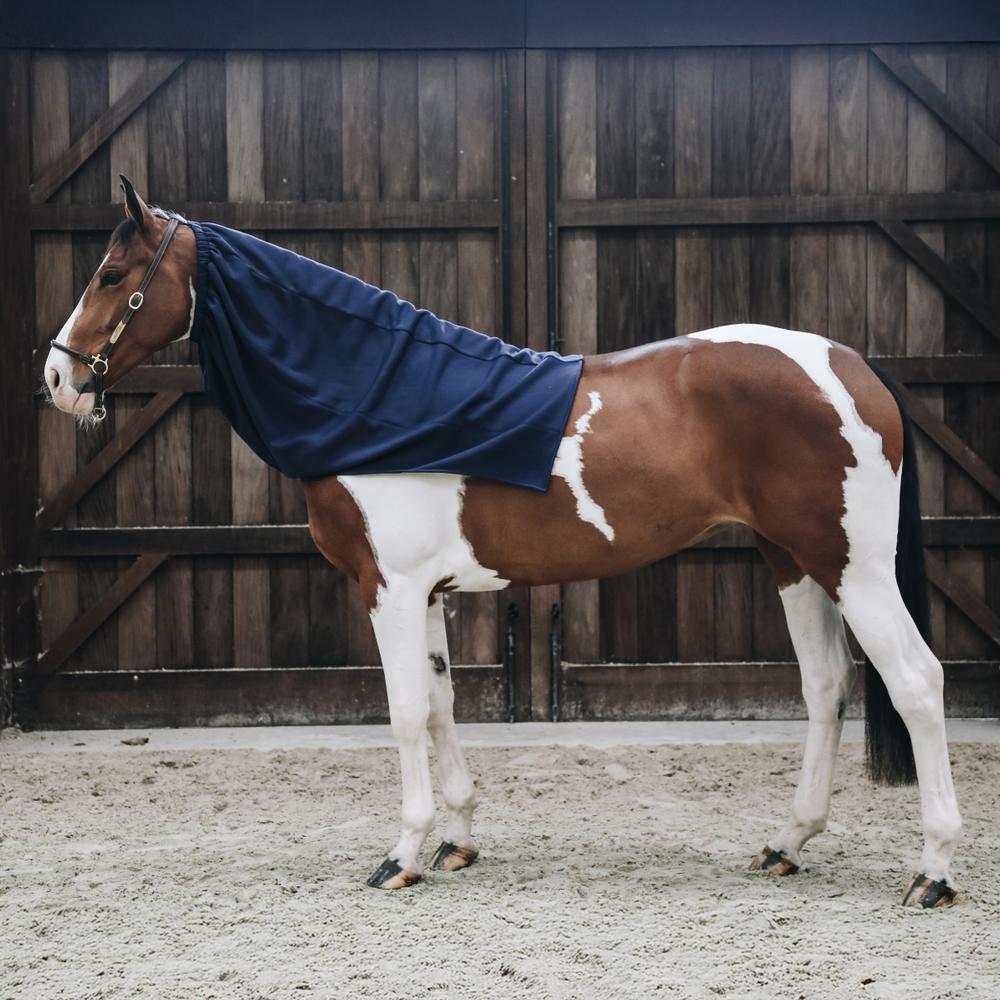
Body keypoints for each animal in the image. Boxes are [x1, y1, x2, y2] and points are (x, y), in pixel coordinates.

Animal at [42, 176, 962, 908]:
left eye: (113, 276)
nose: (57, 377)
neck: (380, 396)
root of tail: (853, 364)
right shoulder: (428, 595)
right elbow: (443, 703)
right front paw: (457, 841)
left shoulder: (388, 589)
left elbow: (405, 713)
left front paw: (401, 856)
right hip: (794, 562)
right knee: (826, 688)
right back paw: (787, 843)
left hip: (852, 568)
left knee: (916, 682)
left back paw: (934, 873)